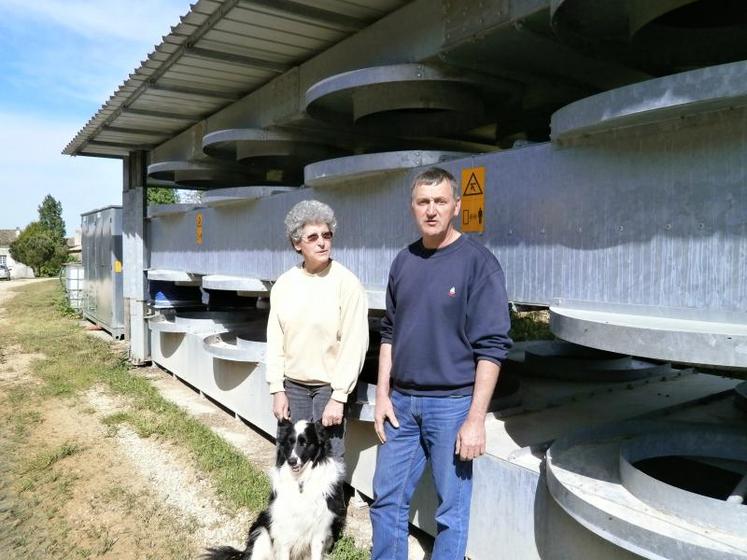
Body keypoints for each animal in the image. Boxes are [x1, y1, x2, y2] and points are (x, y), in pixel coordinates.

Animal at [203, 418, 346, 556]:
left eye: (305, 443)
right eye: (289, 443)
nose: (291, 461)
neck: (300, 482)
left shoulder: (319, 530)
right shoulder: (284, 529)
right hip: (261, 534)